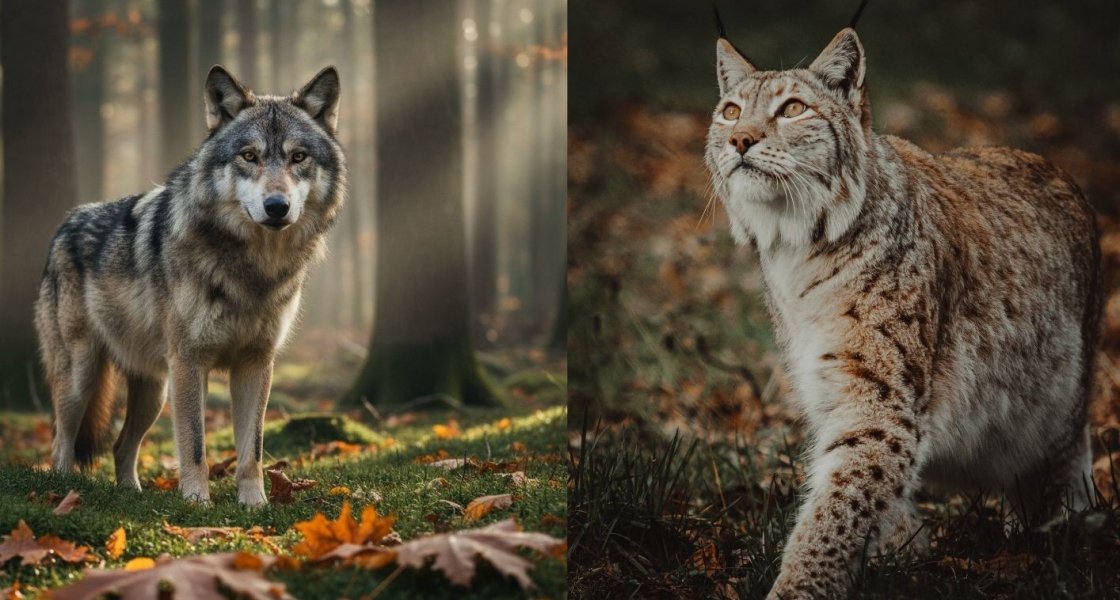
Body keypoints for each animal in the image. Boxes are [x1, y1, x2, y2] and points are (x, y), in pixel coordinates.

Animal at [35, 65, 346, 505]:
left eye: (297, 157)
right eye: (249, 156)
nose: (276, 207)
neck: (252, 269)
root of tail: (65, 224)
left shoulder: (256, 363)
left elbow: (252, 450)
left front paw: (255, 505)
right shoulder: (189, 361)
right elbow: (195, 444)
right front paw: (197, 502)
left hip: (154, 390)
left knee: (121, 446)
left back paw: (133, 494)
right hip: (83, 376)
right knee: (61, 439)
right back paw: (60, 491)